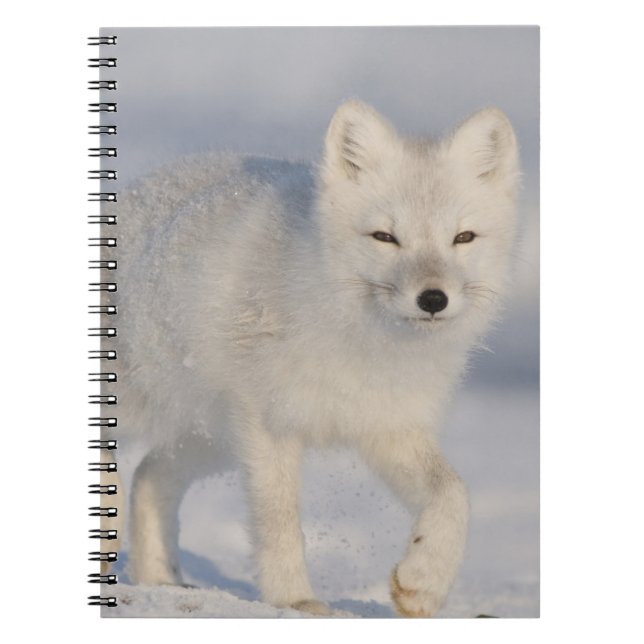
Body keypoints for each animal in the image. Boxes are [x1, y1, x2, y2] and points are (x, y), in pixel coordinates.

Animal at [106, 100, 520, 617]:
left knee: (149, 474)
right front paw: (295, 601)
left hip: (212, 438)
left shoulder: (387, 427)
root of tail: (137, 190)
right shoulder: (270, 426)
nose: (433, 299)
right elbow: (279, 523)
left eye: (463, 237)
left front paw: (423, 582)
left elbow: (454, 494)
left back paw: (159, 580)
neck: (359, 341)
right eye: (385, 237)